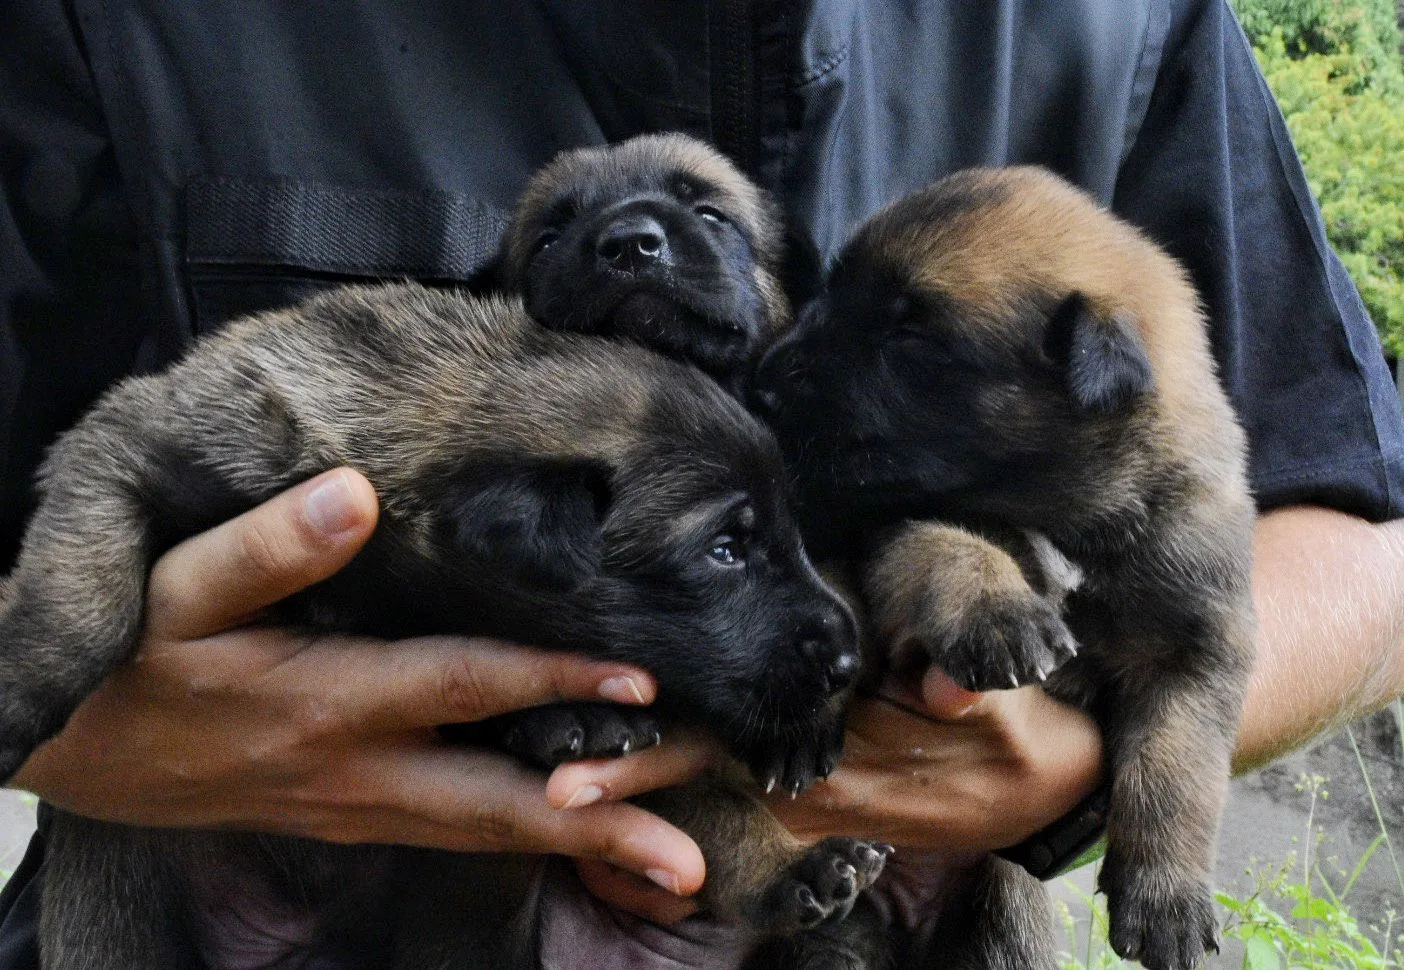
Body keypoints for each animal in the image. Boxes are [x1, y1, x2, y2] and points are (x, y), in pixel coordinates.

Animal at [0, 282, 892, 970]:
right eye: (725, 549)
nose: (850, 661)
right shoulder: (133, 447)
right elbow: (83, 591)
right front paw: (18, 690)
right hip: (114, 909)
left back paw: (798, 868)